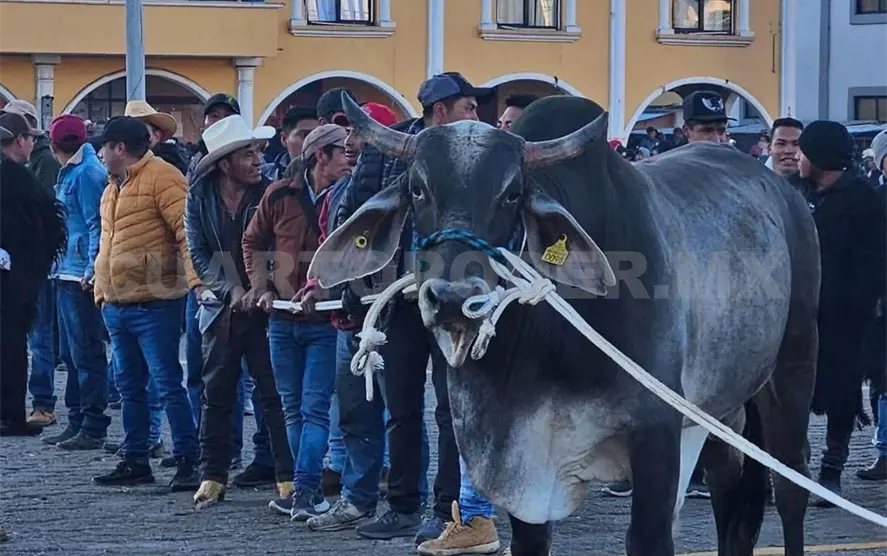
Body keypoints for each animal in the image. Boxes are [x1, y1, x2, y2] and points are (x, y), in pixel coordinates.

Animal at [309, 94, 820, 556]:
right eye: (418, 188)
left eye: (512, 192)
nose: (453, 299)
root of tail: (782, 189)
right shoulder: (524, 462)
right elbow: (532, 540)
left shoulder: (657, 433)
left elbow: (649, 539)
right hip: (721, 406)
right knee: (729, 493)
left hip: (792, 371)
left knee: (791, 490)